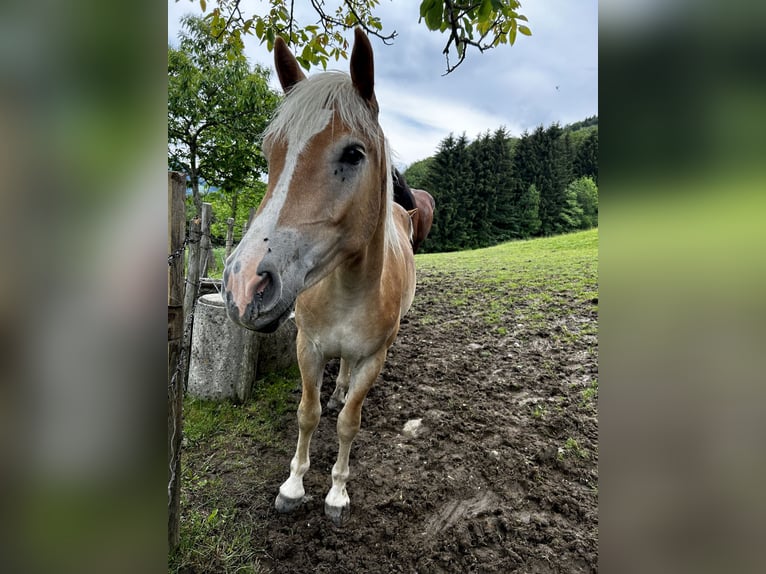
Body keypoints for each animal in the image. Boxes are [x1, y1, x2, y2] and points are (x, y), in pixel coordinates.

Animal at [222, 28, 416, 532]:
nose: (244, 284)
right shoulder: (307, 346)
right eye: (271, 153)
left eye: (353, 153)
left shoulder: (373, 358)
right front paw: (292, 487)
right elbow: (307, 414)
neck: (347, 290)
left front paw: (337, 494)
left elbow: (349, 423)